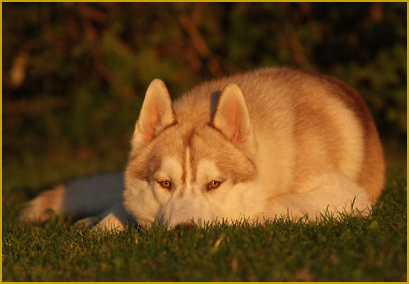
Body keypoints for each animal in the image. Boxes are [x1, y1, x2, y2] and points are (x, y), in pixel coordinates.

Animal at [19, 67, 384, 230]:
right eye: (165, 183)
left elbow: (266, 209)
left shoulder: (345, 196)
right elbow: (121, 209)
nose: (185, 231)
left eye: (214, 184)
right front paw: (103, 226)